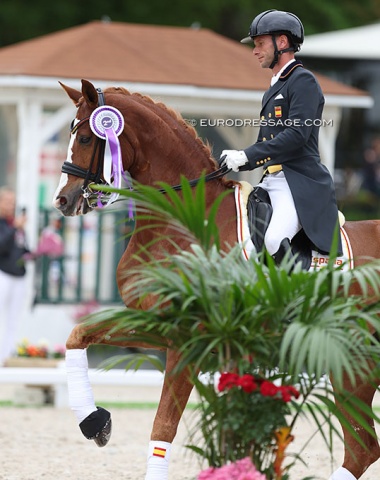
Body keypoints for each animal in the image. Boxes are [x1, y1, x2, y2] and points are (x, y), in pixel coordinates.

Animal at [52, 79, 380, 480]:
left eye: (85, 138)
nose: (62, 201)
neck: (180, 222)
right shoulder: (155, 323)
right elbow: (77, 335)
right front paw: (95, 422)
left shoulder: (188, 336)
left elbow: (163, 425)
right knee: (363, 450)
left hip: (353, 365)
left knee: (361, 449)